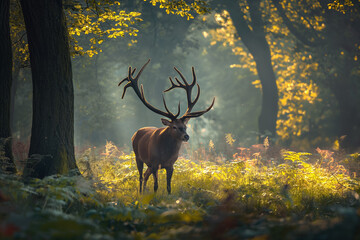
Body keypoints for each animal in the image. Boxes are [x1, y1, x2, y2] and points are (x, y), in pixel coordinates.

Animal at [118, 60, 215, 195]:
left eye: (185, 126)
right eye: (174, 127)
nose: (186, 136)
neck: (165, 154)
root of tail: (136, 133)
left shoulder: (171, 165)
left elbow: (169, 187)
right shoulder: (154, 163)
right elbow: (156, 186)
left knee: (145, 174)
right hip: (138, 156)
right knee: (141, 176)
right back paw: (141, 193)